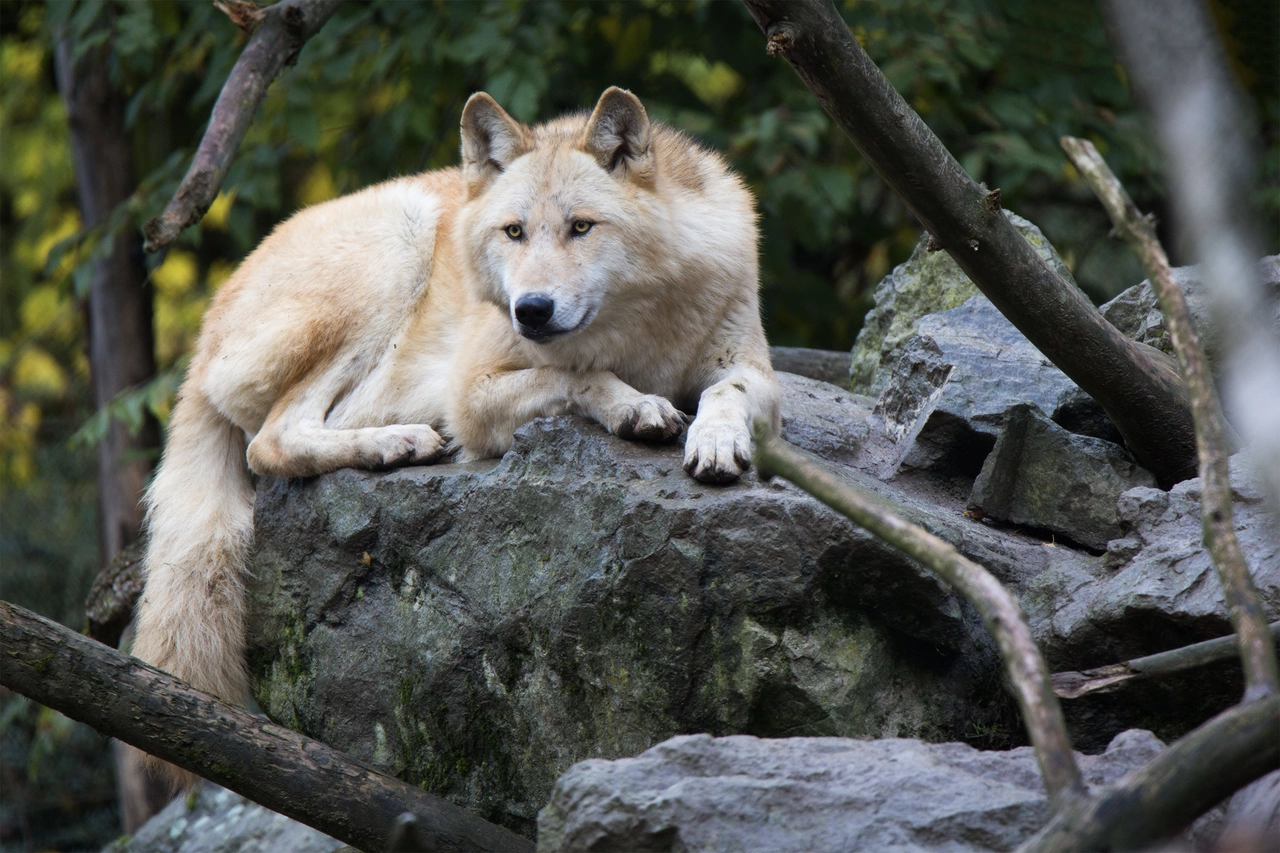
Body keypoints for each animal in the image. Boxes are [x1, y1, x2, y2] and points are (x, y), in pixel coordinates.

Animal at [137, 87, 778, 737]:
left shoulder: (752, 366)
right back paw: (400, 444)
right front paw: (637, 405)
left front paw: (716, 443)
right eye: (514, 231)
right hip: (398, 248)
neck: (637, 331)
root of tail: (204, 329)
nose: (531, 310)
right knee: (273, 442)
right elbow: (577, 374)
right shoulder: (471, 393)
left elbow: (726, 393)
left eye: (581, 227)